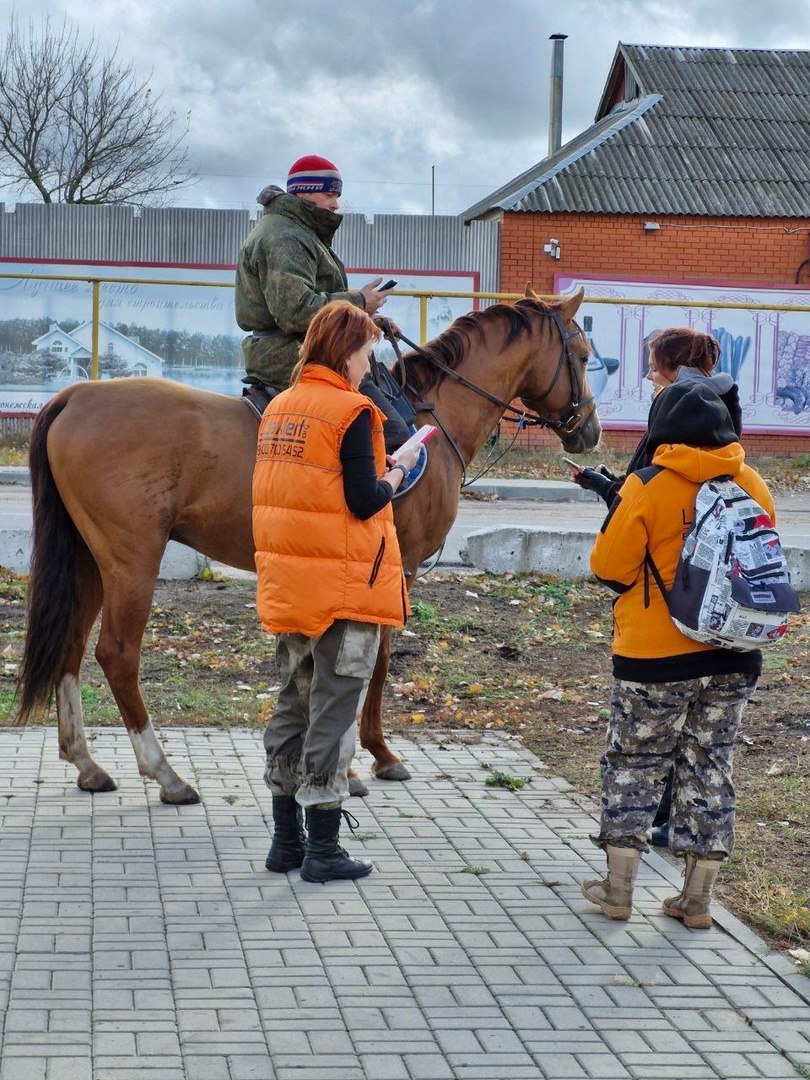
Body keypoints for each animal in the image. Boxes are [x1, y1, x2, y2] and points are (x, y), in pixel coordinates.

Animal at [15, 287, 600, 803]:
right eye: (582, 354)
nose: (589, 430)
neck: (431, 415)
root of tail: (75, 396)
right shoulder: (397, 569)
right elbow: (376, 661)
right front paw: (373, 757)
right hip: (131, 560)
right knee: (117, 654)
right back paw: (166, 775)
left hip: (90, 560)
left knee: (70, 645)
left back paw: (87, 763)